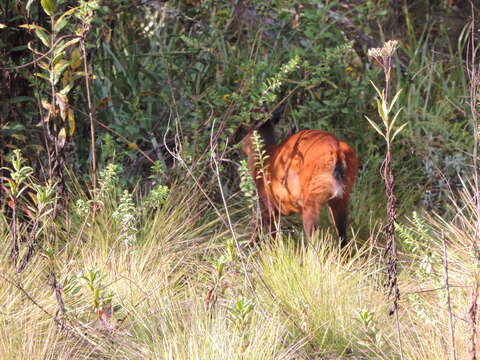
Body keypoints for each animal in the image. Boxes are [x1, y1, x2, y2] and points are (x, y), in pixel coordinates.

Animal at [242, 116, 358, 246]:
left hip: (311, 197)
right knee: (343, 236)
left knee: (313, 239)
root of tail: (336, 149)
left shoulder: (266, 204)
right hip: (342, 195)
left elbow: (269, 237)